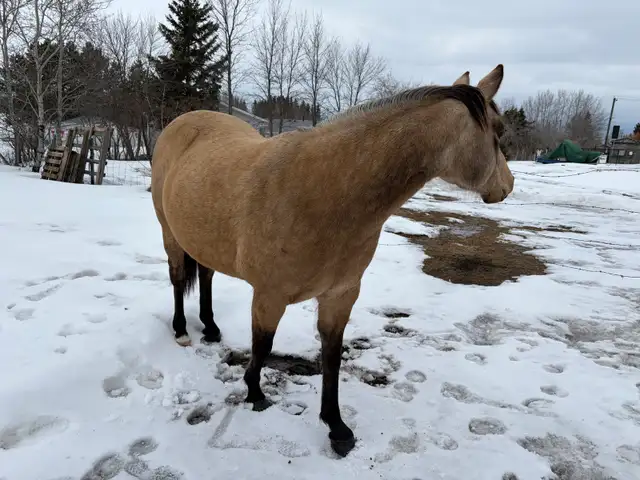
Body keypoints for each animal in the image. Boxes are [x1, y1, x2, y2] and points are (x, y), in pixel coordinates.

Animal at [151, 64, 514, 457]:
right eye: (499, 131)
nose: (508, 186)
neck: (324, 192)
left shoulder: (340, 294)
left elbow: (332, 354)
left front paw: (336, 427)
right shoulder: (269, 295)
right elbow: (263, 345)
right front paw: (255, 392)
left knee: (205, 274)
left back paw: (211, 327)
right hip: (169, 233)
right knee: (177, 278)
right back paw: (182, 331)